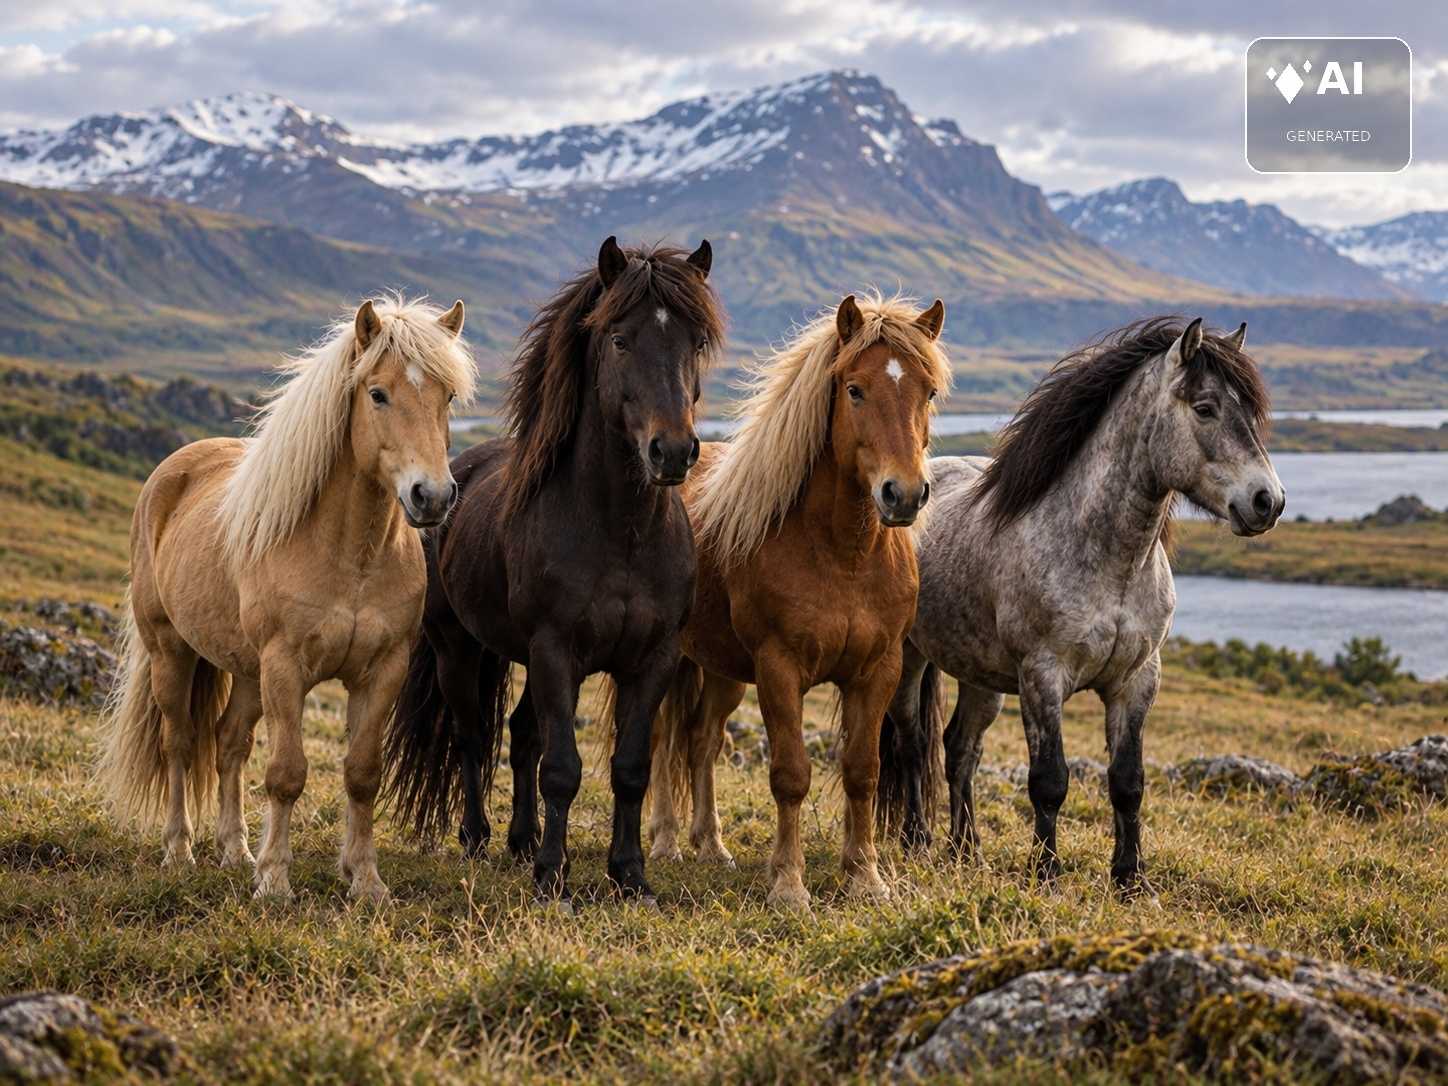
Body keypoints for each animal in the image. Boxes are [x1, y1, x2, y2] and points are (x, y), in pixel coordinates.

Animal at [98, 296, 475, 901]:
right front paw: (275, 880)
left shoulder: (382, 670)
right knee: (180, 743)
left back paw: (235, 851)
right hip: (171, 652)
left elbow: (362, 773)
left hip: (248, 671)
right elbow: (286, 773)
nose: (432, 496)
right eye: (378, 393)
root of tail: (171, 472)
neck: (350, 555)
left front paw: (365, 880)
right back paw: (179, 850)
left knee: (229, 744)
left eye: (449, 398)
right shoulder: (285, 667)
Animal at [382, 237, 722, 905]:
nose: (672, 452)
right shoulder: (555, 651)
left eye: (696, 342)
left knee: (520, 736)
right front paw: (551, 878)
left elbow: (630, 768)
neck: (618, 533)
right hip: (459, 649)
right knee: (473, 737)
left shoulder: (654, 658)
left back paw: (521, 840)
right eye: (619, 339)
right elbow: (562, 768)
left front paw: (629, 875)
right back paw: (480, 838)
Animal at [641, 293, 950, 911]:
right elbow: (790, 774)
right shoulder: (780, 669)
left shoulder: (878, 670)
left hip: (723, 671)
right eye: (854, 389)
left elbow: (861, 771)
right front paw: (788, 883)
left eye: (928, 392)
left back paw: (712, 845)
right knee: (665, 740)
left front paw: (865, 877)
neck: (842, 554)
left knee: (702, 741)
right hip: (676, 662)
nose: (903, 494)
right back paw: (665, 841)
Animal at [877, 317, 1285, 891]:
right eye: (1205, 408)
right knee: (914, 744)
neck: (1108, 560)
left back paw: (966, 849)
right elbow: (1049, 780)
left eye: (1250, 412)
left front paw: (1130, 879)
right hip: (913, 658)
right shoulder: (1043, 676)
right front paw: (1046, 873)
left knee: (960, 749)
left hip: (981, 674)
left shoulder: (1137, 679)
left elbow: (1128, 782)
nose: (1268, 501)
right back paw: (918, 840)